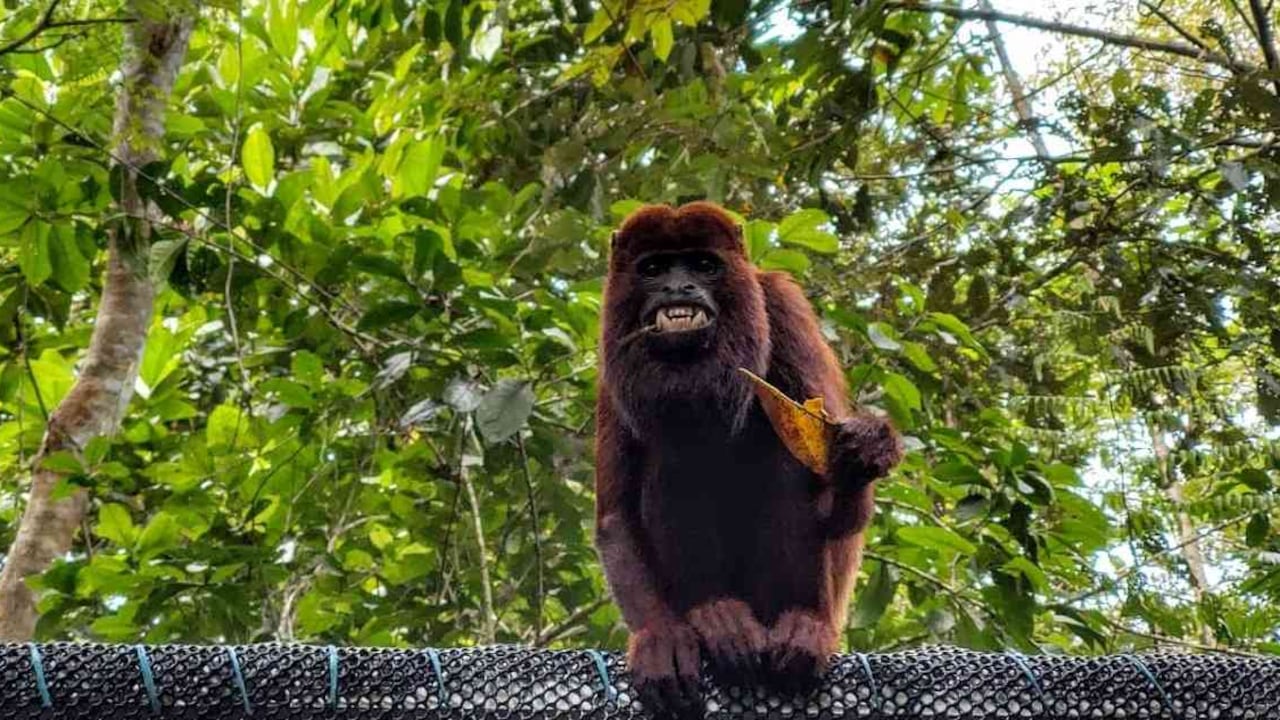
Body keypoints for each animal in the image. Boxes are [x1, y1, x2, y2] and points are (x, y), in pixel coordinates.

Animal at [594, 201, 903, 717]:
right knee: (673, 459)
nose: (679, 288)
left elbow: (836, 503)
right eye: (654, 268)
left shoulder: (782, 307)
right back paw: (715, 616)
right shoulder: (611, 359)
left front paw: (866, 449)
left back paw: (802, 627)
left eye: (703, 265)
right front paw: (659, 636)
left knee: (783, 465)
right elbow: (615, 518)